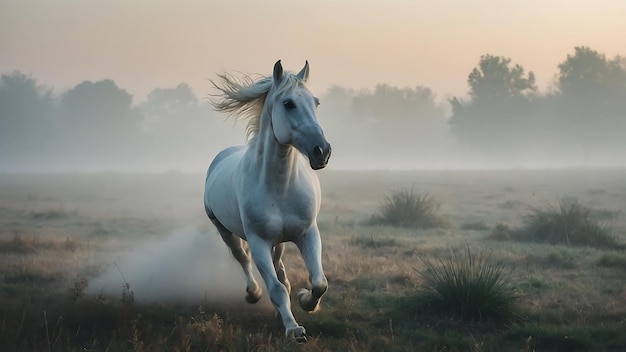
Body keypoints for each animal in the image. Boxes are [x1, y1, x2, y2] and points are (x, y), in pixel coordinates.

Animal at [205, 59, 332, 340]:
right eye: (288, 103)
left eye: (316, 103)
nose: (323, 152)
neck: (280, 187)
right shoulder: (259, 242)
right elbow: (275, 288)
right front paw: (294, 329)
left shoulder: (308, 233)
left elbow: (319, 282)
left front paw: (306, 301)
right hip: (224, 230)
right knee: (243, 258)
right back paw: (253, 293)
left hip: (280, 240)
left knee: (279, 266)